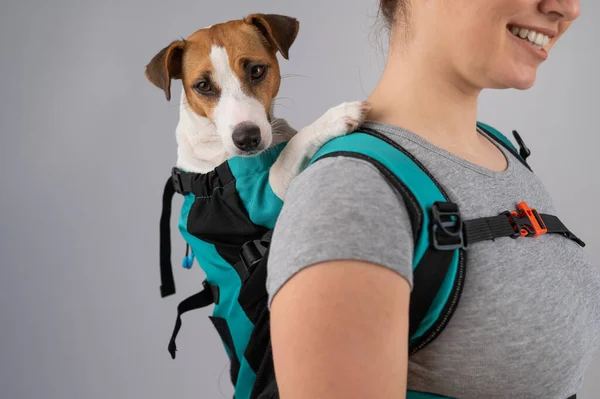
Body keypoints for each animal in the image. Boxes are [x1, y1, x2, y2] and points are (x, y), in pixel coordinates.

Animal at [145, 13, 370, 198]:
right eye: (203, 86)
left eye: (256, 70)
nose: (246, 139)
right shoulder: (270, 189)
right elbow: (290, 149)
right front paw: (334, 117)